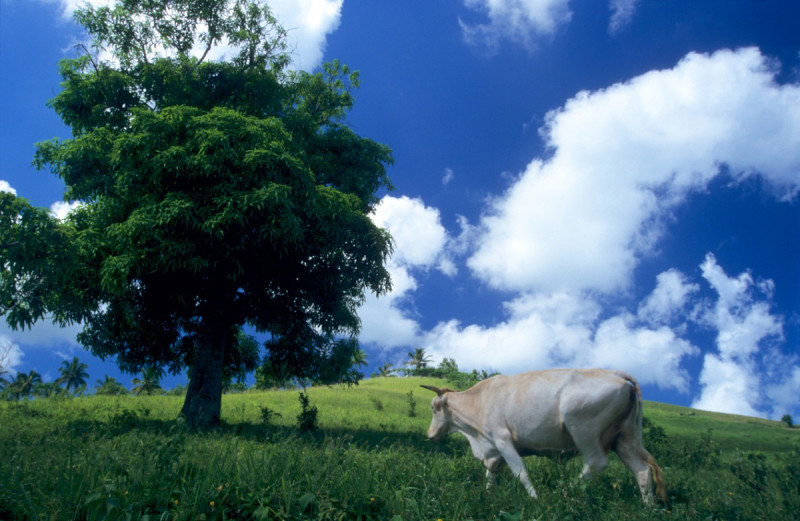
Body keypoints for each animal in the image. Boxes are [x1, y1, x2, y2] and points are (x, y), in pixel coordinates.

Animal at [422, 368, 664, 502]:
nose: (430, 434)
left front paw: (535, 499)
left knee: (597, 463)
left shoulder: (503, 440)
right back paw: (649, 508)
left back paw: (563, 493)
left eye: (433, 408)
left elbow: (521, 474)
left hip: (584, 431)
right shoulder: (493, 449)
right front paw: (487, 496)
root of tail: (614, 373)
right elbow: (491, 475)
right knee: (642, 471)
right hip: (624, 439)